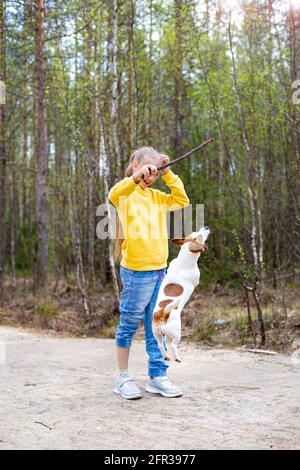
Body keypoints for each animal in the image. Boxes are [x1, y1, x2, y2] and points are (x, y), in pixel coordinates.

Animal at [152, 228, 209, 364]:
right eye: (200, 236)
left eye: (195, 232)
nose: (205, 227)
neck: (184, 261)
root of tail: (163, 313)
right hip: (177, 333)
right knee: (173, 346)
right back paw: (177, 358)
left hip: (158, 334)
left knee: (160, 345)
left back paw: (166, 356)